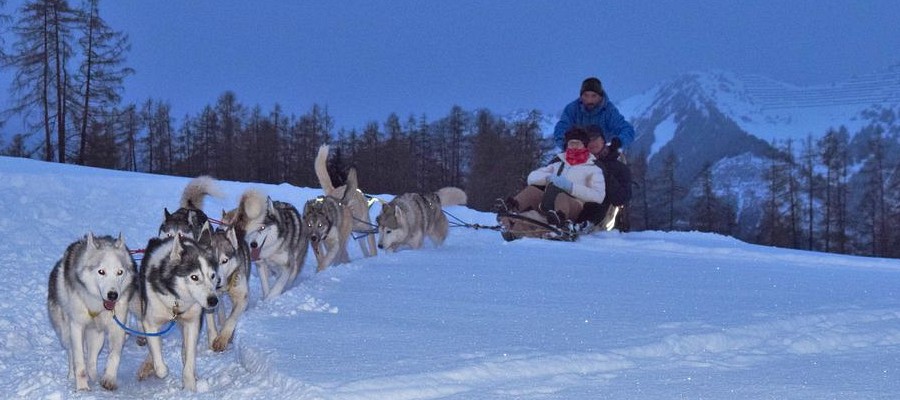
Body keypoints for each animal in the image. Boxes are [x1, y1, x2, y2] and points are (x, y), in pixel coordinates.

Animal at [47, 231, 137, 390]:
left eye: (120, 272)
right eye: (101, 272)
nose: (113, 295)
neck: (97, 305)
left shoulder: (117, 326)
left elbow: (114, 355)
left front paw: (109, 378)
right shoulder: (76, 326)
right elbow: (79, 361)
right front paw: (82, 387)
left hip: (97, 335)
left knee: (91, 361)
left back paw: (94, 377)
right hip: (66, 332)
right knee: (72, 354)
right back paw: (72, 376)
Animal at [137, 231, 221, 390]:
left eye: (212, 276)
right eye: (194, 277)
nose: (213, 300)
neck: (176, 301)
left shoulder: (192, 322)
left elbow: (189, 356)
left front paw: (190, 386)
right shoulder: (150, 323)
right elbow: (160, 365)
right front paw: (159, 368)